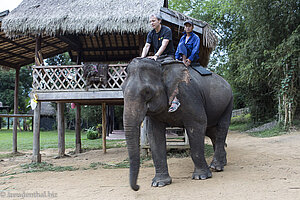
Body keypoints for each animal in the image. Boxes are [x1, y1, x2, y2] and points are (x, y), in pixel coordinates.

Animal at [121, 57, 232, 191]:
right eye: (121, 89)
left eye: (147, 92)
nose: (138, 187)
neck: (162, 66)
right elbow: (154, 133)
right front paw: (159, 183)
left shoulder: (190, 96)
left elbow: (197, 125)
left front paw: (201, 177)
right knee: (212, 132)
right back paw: (220, 163)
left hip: (228, 103)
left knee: (222, 129)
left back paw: (216, 167)